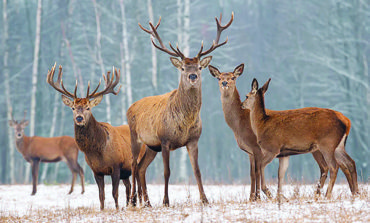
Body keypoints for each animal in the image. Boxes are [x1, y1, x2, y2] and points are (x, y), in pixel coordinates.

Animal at [46, 63, 145, 210]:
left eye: (88, 108)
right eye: (73, 108)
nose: (79, 118)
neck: (98, 150)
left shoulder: (116, 166)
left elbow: (114, 193)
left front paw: (116, 209)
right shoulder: (96, 171)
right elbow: (101, 195)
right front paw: (103, 210)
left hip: (137, 161)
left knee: (138, 185)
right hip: (126, 171)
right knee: (129, 186)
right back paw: (129, 205)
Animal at [129, 12, 234, 207]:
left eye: (199, 67)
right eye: (183, 67)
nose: (192, 76)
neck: (184, 122)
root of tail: (131, 106)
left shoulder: (193, 140)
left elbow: (197, 171)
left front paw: (205, 199)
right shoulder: (164, 140)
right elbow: (167, 172)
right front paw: (165, 201)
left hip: (151, 146)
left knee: (140, 168)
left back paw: (147, 202)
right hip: (135, 137)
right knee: (133, 164)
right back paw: (132, 201)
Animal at [208, 64, 330, 200]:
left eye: (233, 77)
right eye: (219, 78)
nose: (224, 83)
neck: (239, 124)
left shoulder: (256, 147)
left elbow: (257, 171)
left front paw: (257, 198)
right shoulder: (250, 151)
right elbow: (252, 173)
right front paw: (251, 198)